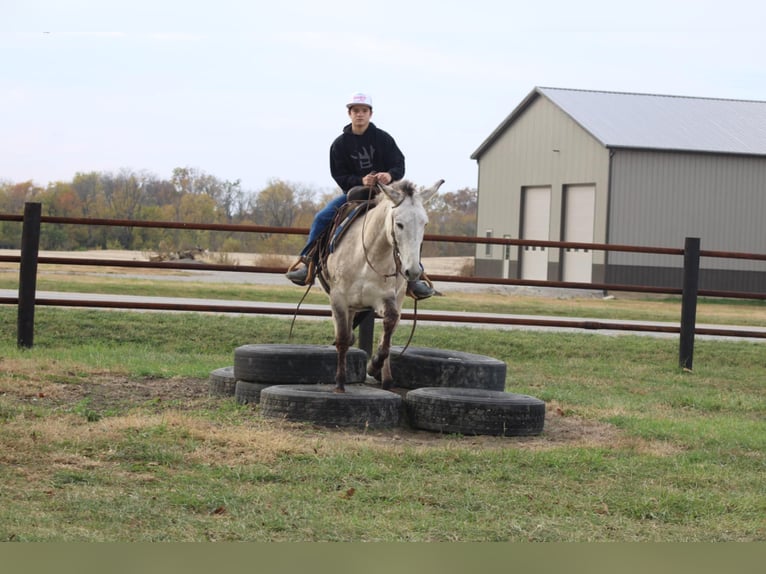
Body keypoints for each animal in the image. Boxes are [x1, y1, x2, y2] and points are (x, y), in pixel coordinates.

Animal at [319, 179, 444, 392]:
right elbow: (343, 338)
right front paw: (340, 383)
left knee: (390, 333)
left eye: (424, 223)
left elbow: (389, 327)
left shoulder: (385, 298)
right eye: (399, 224)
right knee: (345, 333)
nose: (412, 271)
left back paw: (386, 379)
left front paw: (374, 363)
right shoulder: (338, 298)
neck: (367, 255)